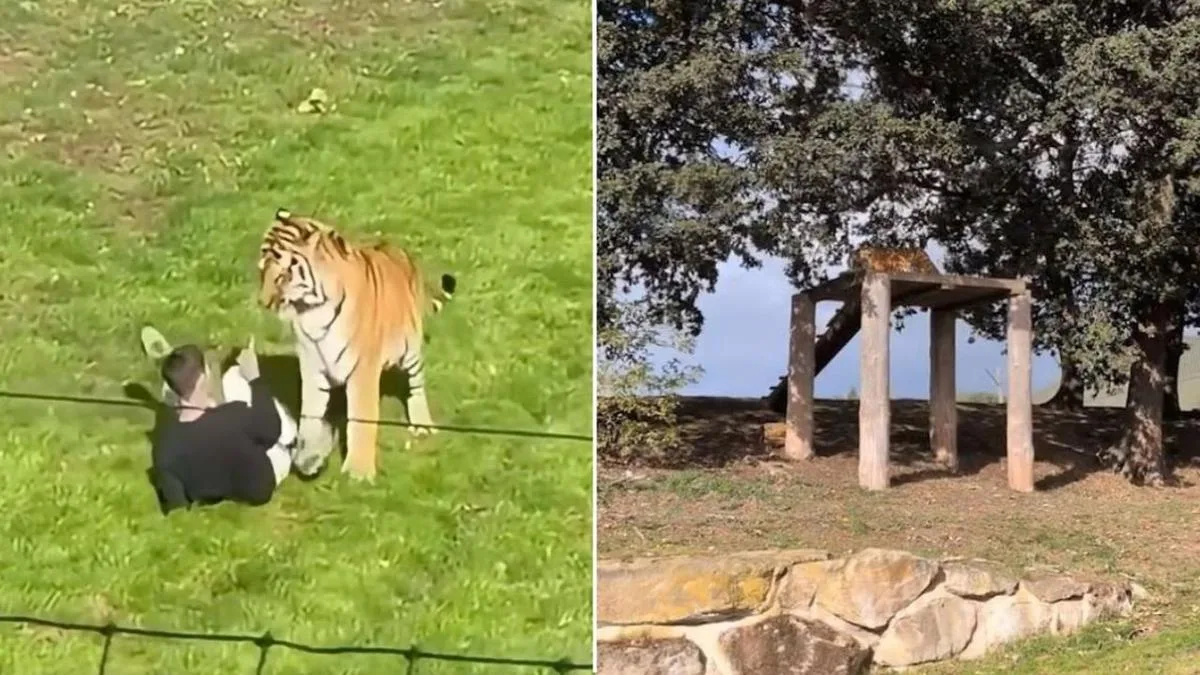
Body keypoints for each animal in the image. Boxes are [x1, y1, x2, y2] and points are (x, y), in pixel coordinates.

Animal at [257, 208, 457, 482]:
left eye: (283, 276)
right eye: (261, 271)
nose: (263, 302)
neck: (311, 312)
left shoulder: (362, 369)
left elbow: (361, 420)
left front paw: (358, 473)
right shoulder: (311, 367)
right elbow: (310, 416)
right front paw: (309, 459)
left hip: (411, 350)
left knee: (416, 386)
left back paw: (422, 425)